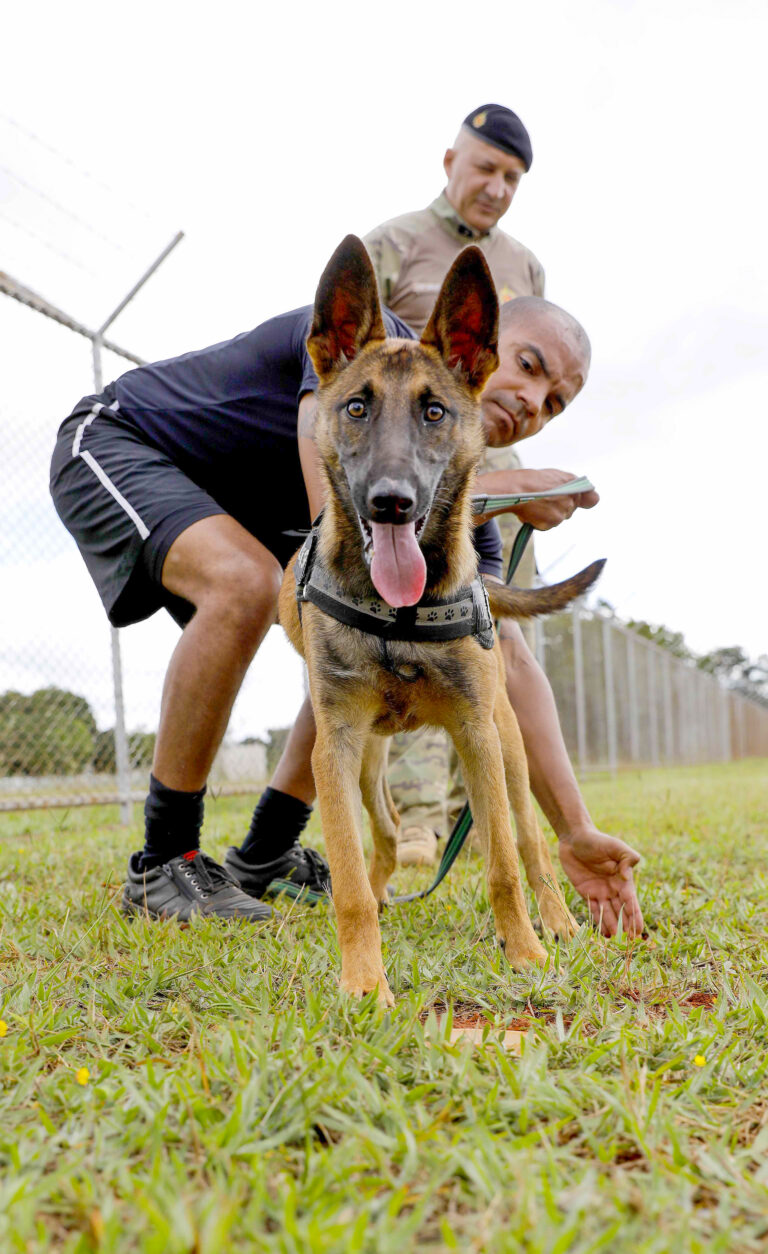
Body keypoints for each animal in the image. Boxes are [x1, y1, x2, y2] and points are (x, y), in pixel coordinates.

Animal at [277, 235, 604, 1003]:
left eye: (434, 413)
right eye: (357, 407)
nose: (391, 501)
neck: (400, 614)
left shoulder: (476, 735)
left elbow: (504, 865)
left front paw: (525, 955)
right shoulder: (334, 748)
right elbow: (349, 884)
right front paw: (365, 982)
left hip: (506, 748)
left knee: (530, 844)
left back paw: (558, 925)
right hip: (367, 767)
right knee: (386, 837)